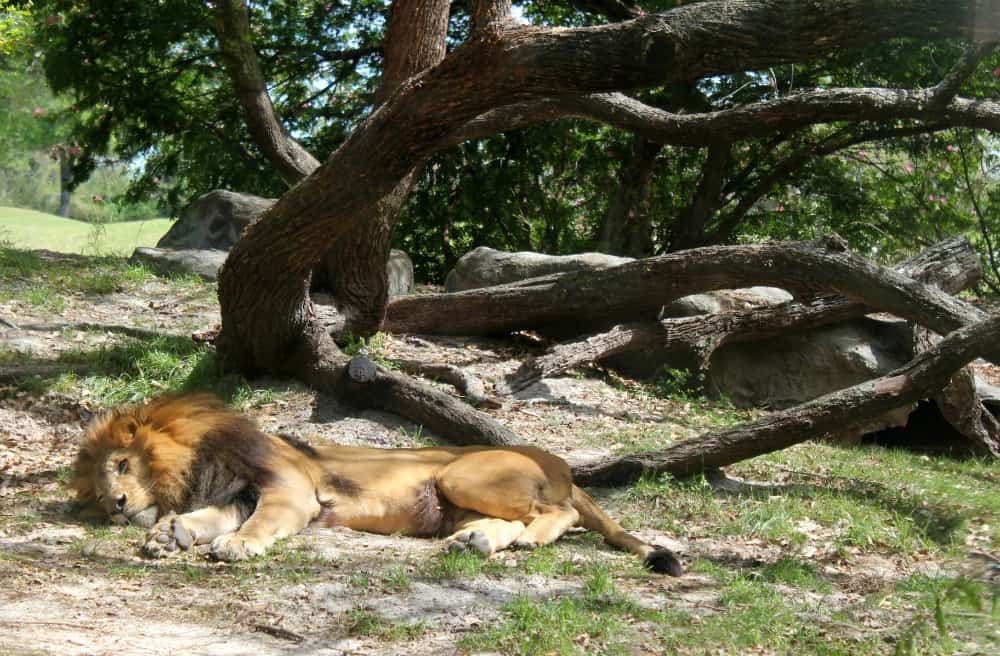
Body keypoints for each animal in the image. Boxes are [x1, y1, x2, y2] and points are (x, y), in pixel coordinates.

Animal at [70, 394, 680, 576]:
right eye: (98, 493)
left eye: (121, 464)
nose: (116, 505)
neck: (199, 461)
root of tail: (559, 464)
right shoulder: (236, 495)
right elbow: (200, 520)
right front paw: (167, 535)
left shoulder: (289, 492)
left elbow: (259, 524)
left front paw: (238, 545)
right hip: (456, 500)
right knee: (510, 523)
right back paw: (476, 541)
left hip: (460, 472)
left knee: (562, 516)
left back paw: (526, 538)